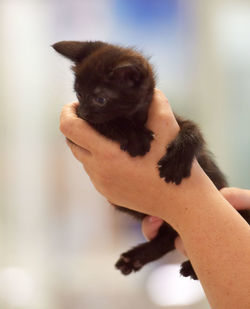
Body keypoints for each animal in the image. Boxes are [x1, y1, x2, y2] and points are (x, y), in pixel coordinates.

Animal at [53, 41, 250, 280]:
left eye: (100, 99)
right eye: (79, 94)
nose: (82, 113)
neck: (138, 116)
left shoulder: (177, 121)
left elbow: (193, 131)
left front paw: (176, 164)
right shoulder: (80, 132)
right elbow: (109, 123)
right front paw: (134, 136)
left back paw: (187, 266)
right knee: (166, 240)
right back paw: (134, 258)